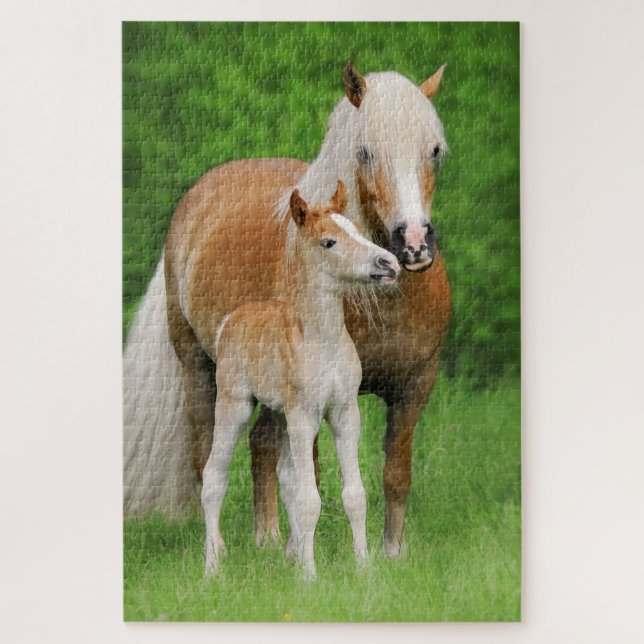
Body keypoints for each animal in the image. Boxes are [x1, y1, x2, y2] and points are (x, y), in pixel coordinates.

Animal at [202, 182, 400, 578]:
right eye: (328, 242)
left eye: (358, 229)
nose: (388, 264)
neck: (323, 341)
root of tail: (230, 320)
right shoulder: (304, 415)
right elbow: (310, 498)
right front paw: (310, 577)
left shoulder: (344, 412)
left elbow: (353, 494)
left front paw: (363, 567)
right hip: (235, 405)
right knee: (214, 476)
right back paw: (212, 567)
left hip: (280, 413)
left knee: (286, 477)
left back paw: (289, 555)